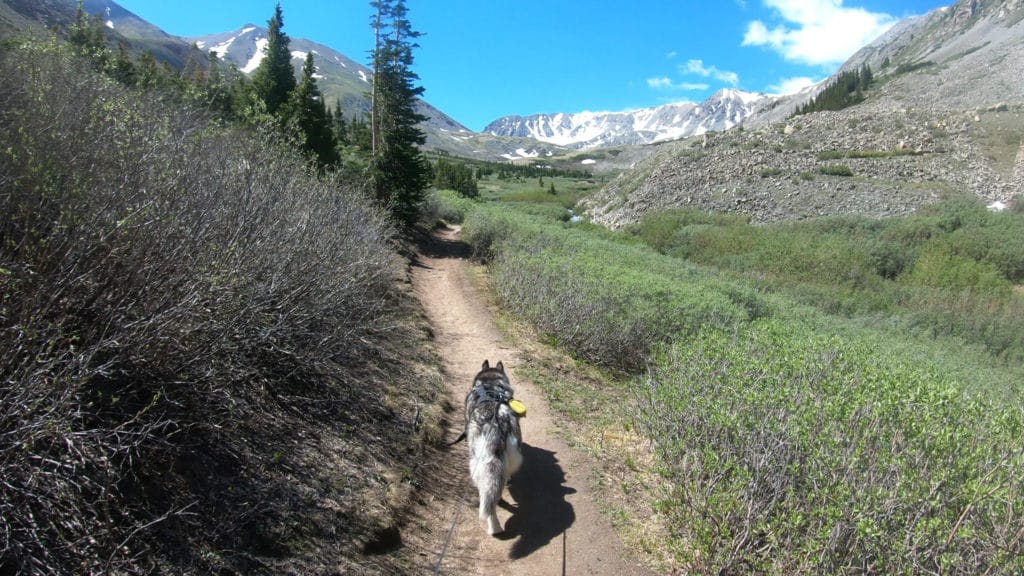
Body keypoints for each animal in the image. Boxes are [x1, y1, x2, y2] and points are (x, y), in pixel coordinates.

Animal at [466, 358, 524, 532]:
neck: (490, 384)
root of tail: (496, 424)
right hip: (511, 454)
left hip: (478, 464)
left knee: (488, 499)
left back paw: (494, 528)